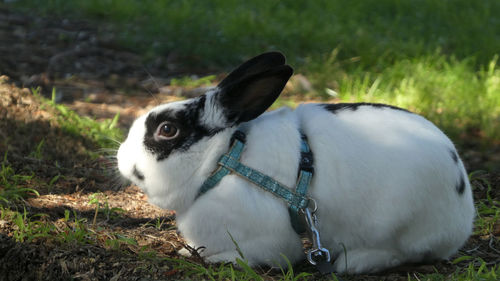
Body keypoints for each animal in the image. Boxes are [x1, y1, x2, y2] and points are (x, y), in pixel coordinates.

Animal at [116, 51, 472, 272]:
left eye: (167, 130)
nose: (121, 158)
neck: (223, 159)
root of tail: (464, 209)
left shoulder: (268, 240)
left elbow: (260, 254)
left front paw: (222, 259)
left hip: (398, 224)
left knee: (400, 253)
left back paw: (354, 262)